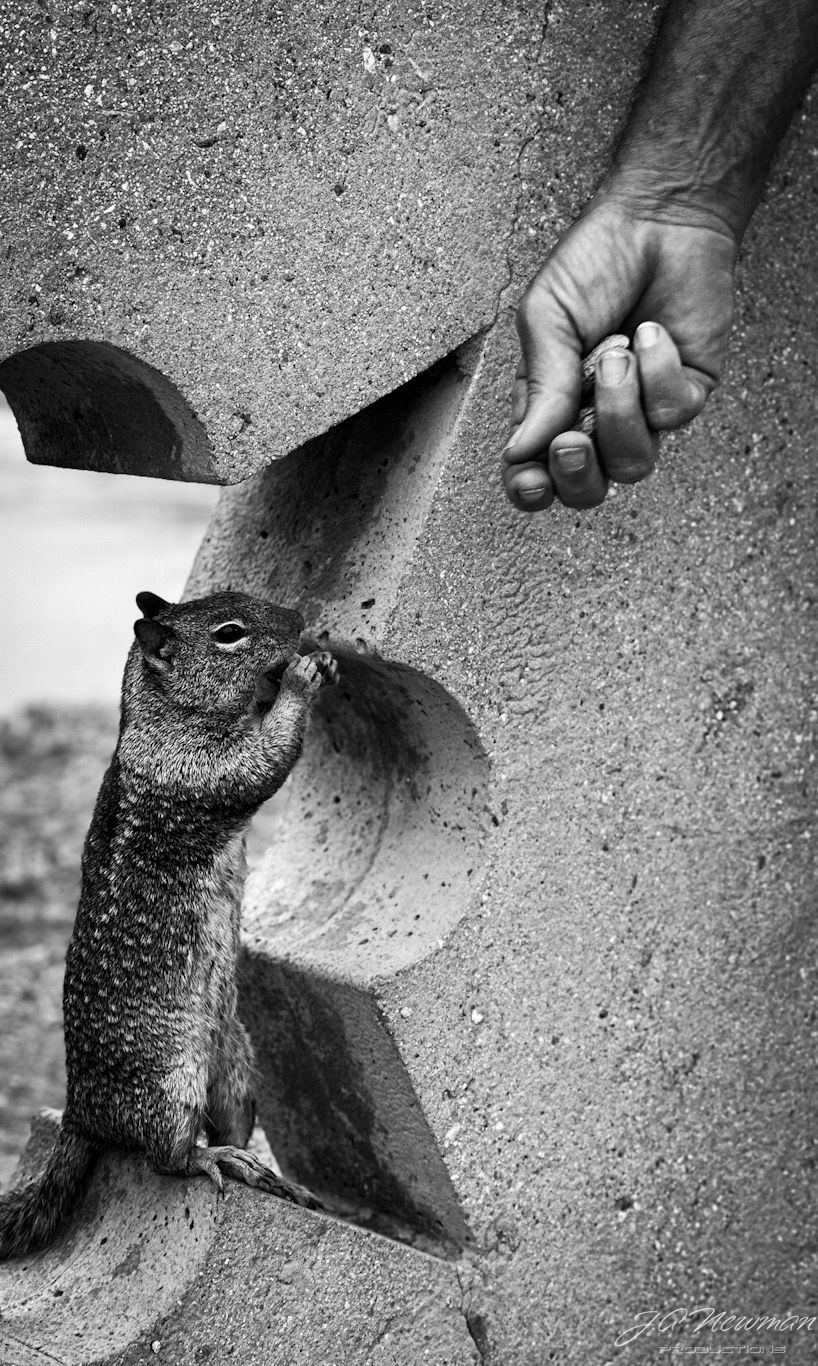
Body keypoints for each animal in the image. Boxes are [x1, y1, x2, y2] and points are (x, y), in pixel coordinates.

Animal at [0, 589, 337, 1258]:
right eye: (228, 633)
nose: (297, 622)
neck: (159, 714)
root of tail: (80, 1112)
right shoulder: (193, 769)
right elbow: (258, 762)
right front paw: (298, 679)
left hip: (235, 1070)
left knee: (224, 1123)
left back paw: (261, 1171)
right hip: (168, 1083)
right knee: (165, 1157)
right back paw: (214, 1162)